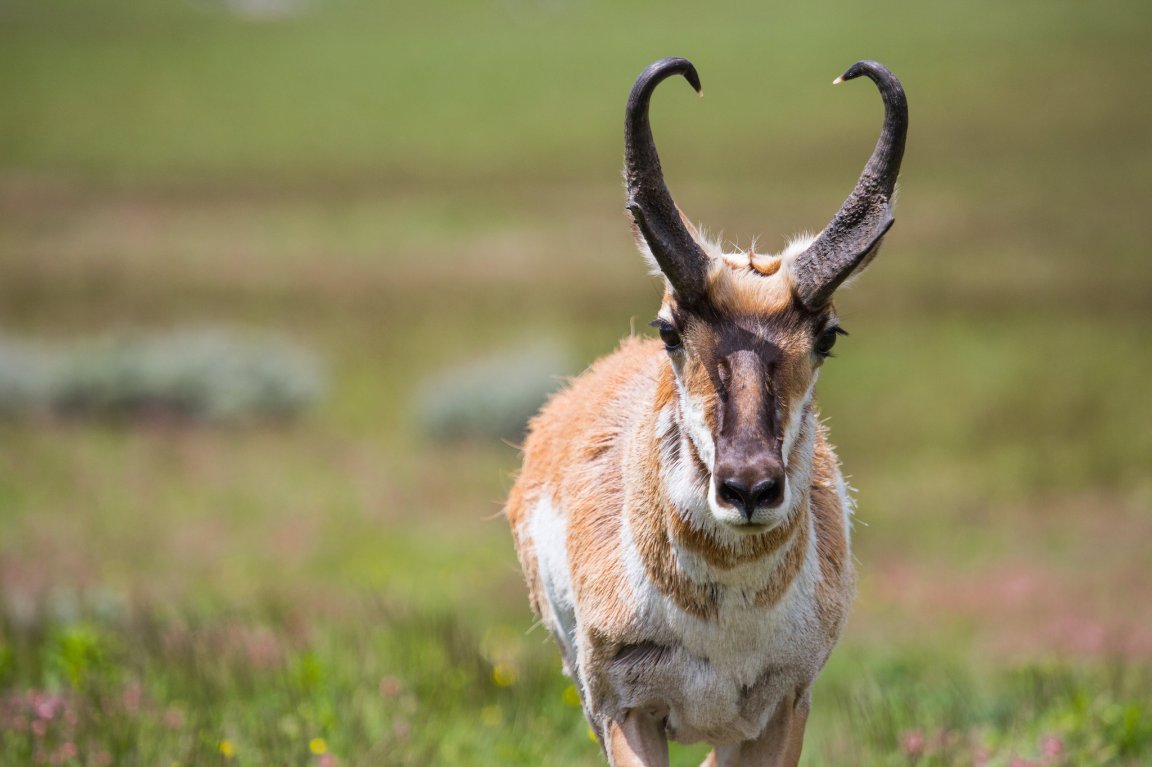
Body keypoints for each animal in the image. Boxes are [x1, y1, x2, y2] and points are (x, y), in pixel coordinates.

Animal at [504, 57, 907, 767]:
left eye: (828, 335)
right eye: (669, 327)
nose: (748, 487)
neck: (726, 615)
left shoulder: (782, 711)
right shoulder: (623, 712)